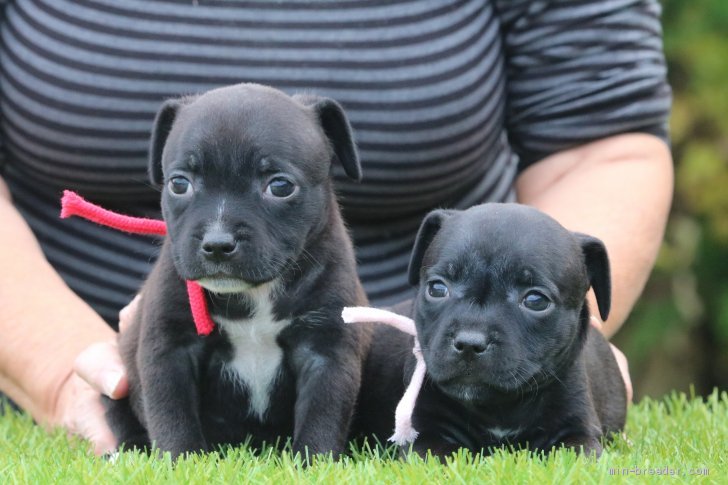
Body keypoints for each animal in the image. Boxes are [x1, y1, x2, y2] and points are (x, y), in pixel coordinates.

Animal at [102, 82, 370, 458]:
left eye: (280, 186)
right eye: (179, 184)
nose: (217, 243)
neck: (254, 294)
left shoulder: (327, 350)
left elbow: (323, 416)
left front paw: (312, 462)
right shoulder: (169, 349)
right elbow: (171, 415)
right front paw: (182, 460)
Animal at [352, 203, 624, 458]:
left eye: (535, 300)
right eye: (437, 289)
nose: (469, 343)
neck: (497, 408)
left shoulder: (575, 430)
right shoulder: (425, 433)